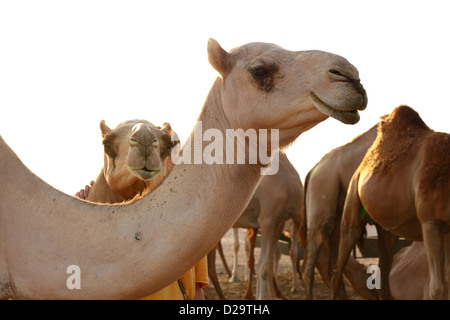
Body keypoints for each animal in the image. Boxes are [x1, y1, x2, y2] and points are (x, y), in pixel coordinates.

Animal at [330, 105, 450, 300]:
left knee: (384, 272)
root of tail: (362, 166)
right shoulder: (430, 221)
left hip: (386, 228)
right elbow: (436, 288)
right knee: (343, 255)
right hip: (352, 196)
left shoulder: (447, 226)